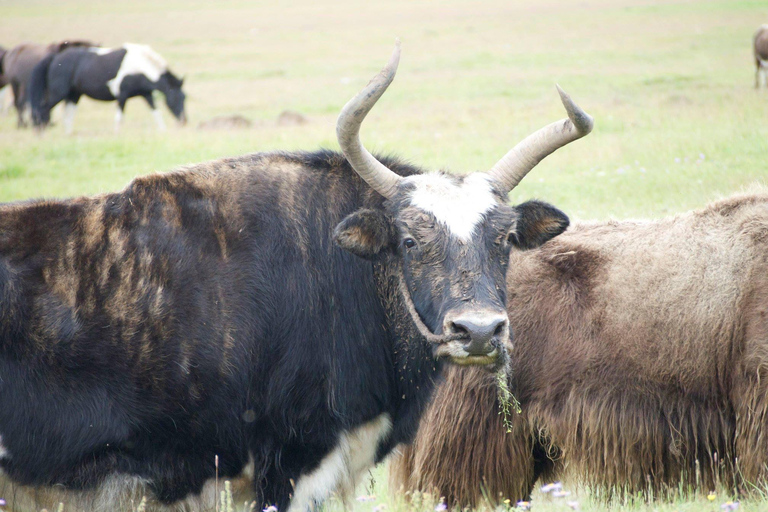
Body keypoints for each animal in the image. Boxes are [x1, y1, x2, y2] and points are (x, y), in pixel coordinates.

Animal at [29, 43, 187, 133]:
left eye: (185, 98)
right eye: (178, 97)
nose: (184, 121)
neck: (141, 65)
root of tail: (56, 56)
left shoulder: (146, 94)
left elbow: (156, 112)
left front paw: (163, 130)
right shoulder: (122, 95)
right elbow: (119, 118)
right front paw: (117, 134)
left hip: (74, 94)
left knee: (68, 115)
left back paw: (68, 134)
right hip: (58, 92)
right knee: (43, 109)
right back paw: (40, 132)